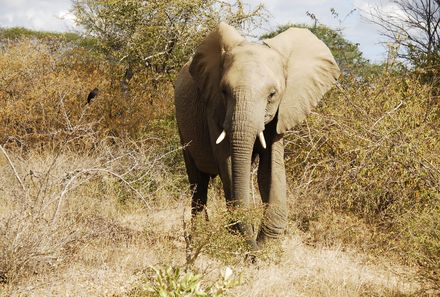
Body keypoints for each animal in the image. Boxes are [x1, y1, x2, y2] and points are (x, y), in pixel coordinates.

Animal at [174, 22, 338, 247]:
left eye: (272, 95)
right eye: (224, 91)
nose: (253, 250)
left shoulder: (280, 114)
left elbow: (270, 168)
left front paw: (263, 245)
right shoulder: (213, 108)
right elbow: (227, 161)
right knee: (198, 184)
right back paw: (195, 239)